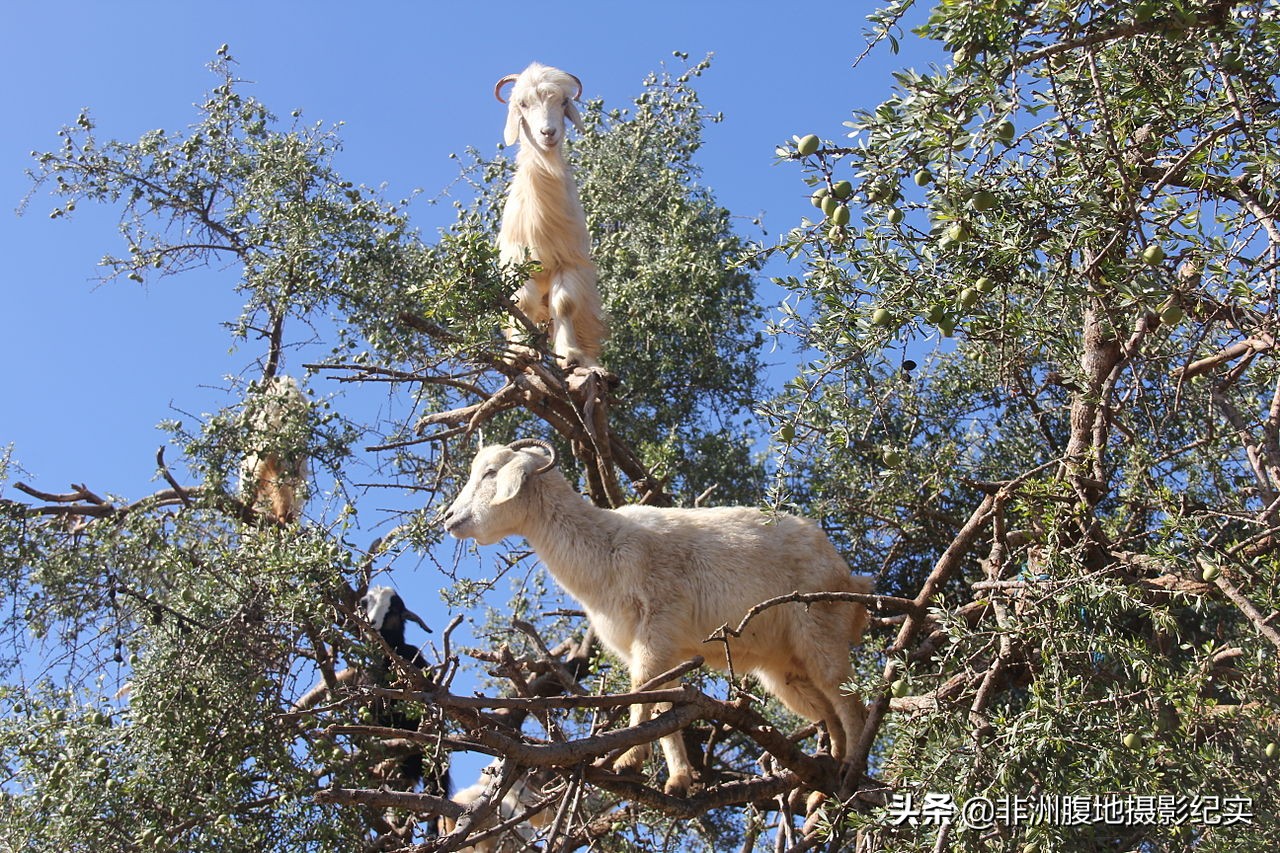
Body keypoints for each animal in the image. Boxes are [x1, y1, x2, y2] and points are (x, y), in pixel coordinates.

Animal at [491, 59, 606, 366]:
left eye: (564, 101)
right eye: (522, 104)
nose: (548, 133)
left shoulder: (569, 260)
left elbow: (564, 304)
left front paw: (570, 355)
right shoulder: (518, 261)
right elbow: (522, 302)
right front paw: (521, 352)